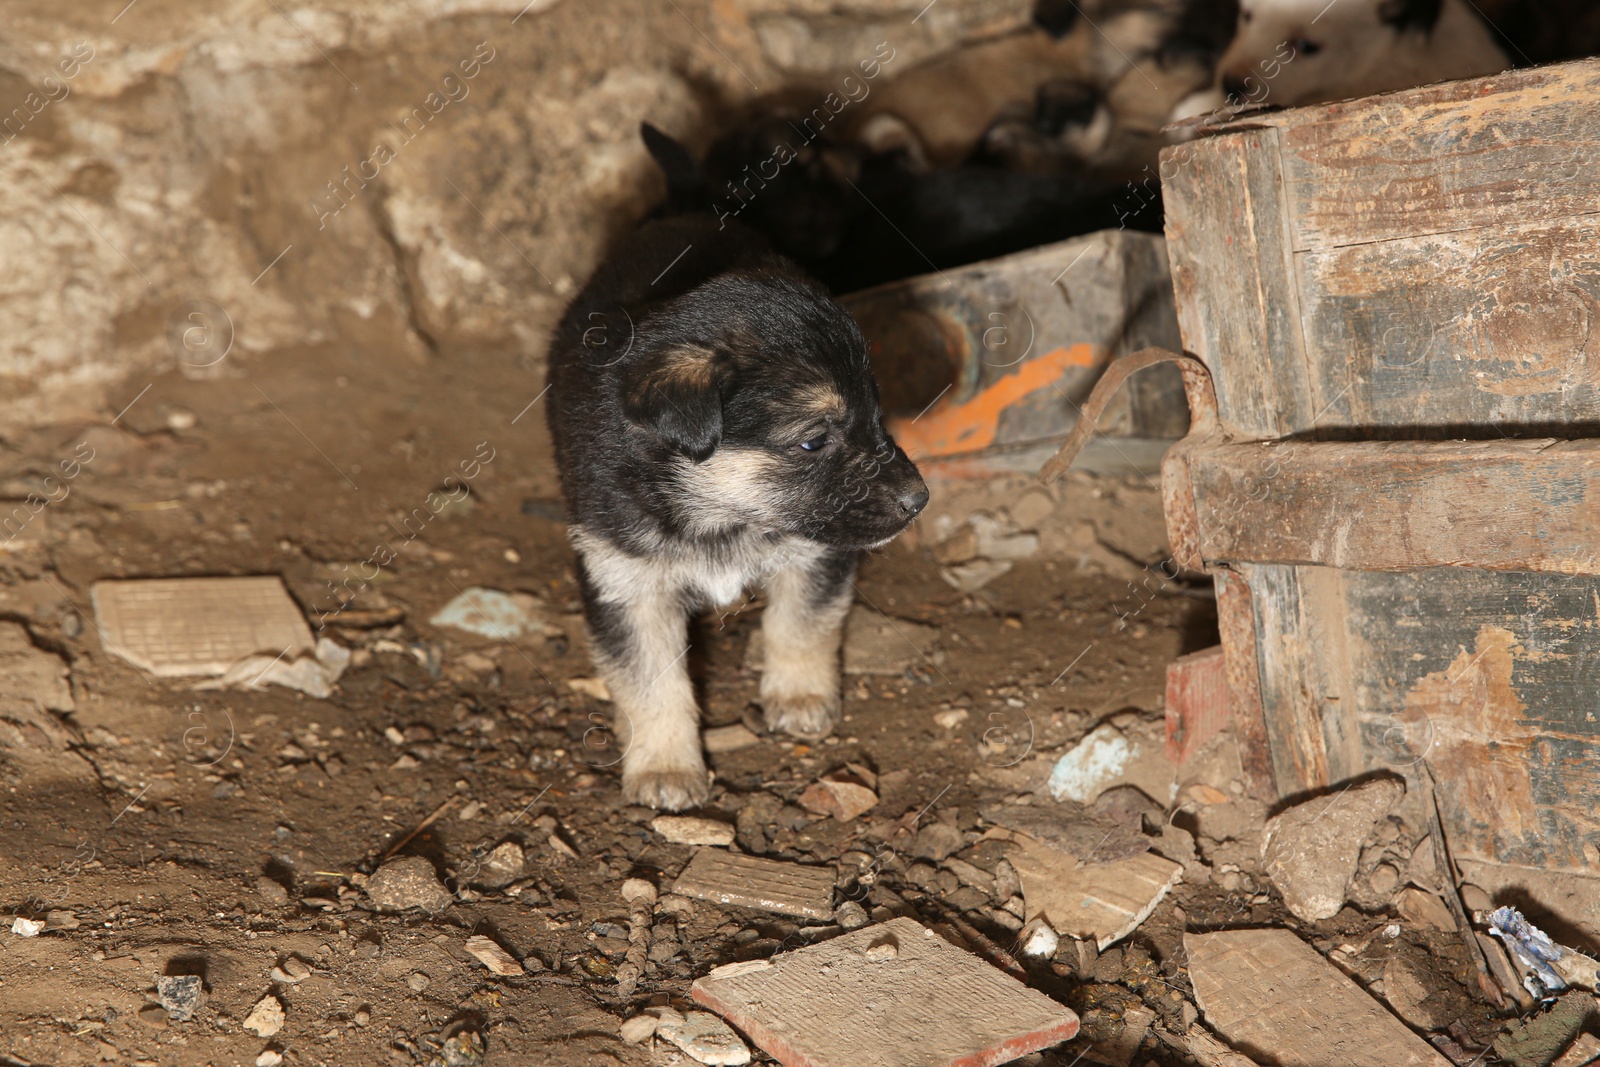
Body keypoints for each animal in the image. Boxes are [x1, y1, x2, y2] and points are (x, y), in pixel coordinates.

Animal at [547, 125, 934, 809]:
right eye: (813, 442)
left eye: (877, 414)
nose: (919, 500)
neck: (718, 510)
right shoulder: (626, 584)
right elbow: (650, 682)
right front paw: (665, 767)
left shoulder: (815, 556)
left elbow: (801, 624)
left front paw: (800, 695)